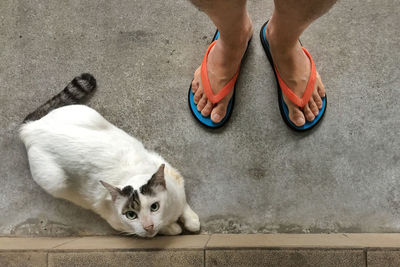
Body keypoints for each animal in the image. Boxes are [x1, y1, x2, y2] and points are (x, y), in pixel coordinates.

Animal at [19, 74, 200, 239]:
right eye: (131, 215)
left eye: (154, 206)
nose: (148, 226)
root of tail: (31, 128)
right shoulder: (116, 222)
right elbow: (159, 230)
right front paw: (172, 228)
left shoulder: (171, 173)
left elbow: (183, 203)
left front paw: (191, 221)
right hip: (55, 181)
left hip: (88, 113)